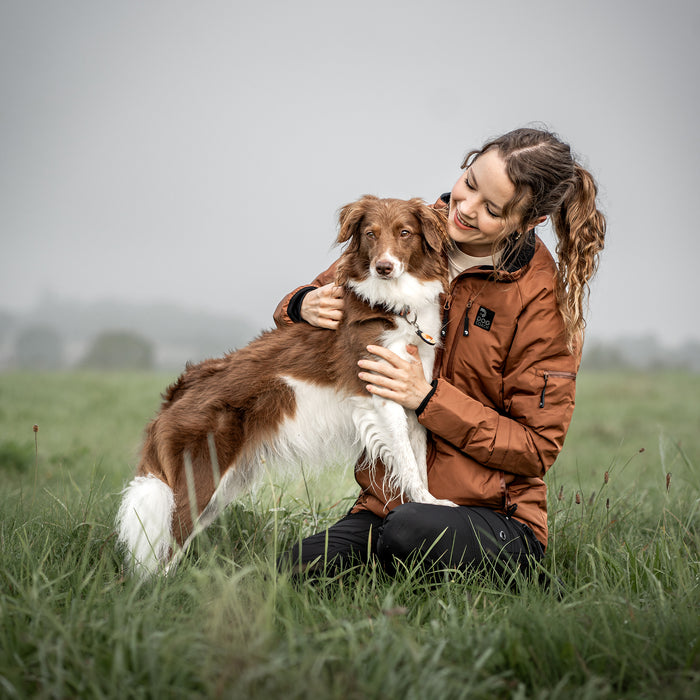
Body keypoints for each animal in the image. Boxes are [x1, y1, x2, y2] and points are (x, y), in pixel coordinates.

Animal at [115, 194, 454, 576]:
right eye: (370, 233)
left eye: (405, 233)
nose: (384, 267)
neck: (393, 304)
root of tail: (178, 391)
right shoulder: (380, 395)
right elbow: (408, 462)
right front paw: (430, 503)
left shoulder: (410, 393)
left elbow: (419, 459)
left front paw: (426, 504)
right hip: (197, 479)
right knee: (160, 558)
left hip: (220, 487)